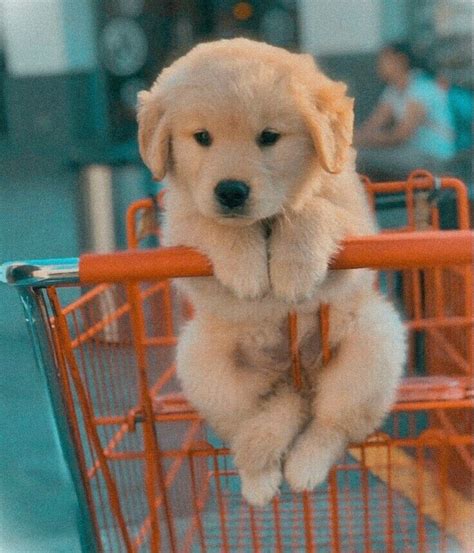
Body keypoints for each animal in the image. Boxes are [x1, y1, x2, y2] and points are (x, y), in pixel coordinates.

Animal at [139, 36, 406, 506]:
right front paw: (247, 269)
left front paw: (293, 270)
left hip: (373, 345)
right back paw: (259, 480)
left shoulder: (356, 227)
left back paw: (304, 466)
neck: (263, 222)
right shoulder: (179, 231)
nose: (230, 192)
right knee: (248, 426)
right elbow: (212, 224)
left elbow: (310, 210)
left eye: (269, 137)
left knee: (331, 425)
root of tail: (295, 380)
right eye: (202, 137)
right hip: (204, 365)